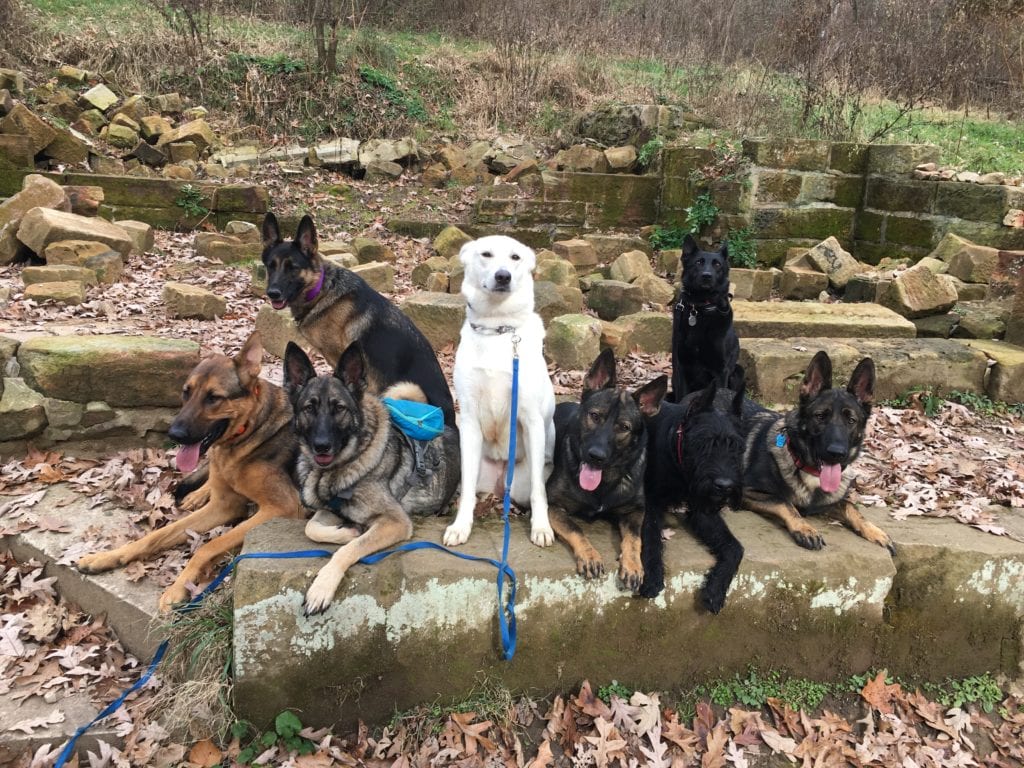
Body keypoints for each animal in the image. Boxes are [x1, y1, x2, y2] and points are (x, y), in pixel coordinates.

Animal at [444, 234, 557, 548]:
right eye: (486, 254)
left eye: (515, 257)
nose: (503, 276)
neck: (497, 329)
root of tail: (499, 483)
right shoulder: (469, 420)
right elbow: (467, 494)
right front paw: (461, 527)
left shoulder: (531, 421)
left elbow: (539, 492)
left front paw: (541, 527)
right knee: (469, 491)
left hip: (521, 481)